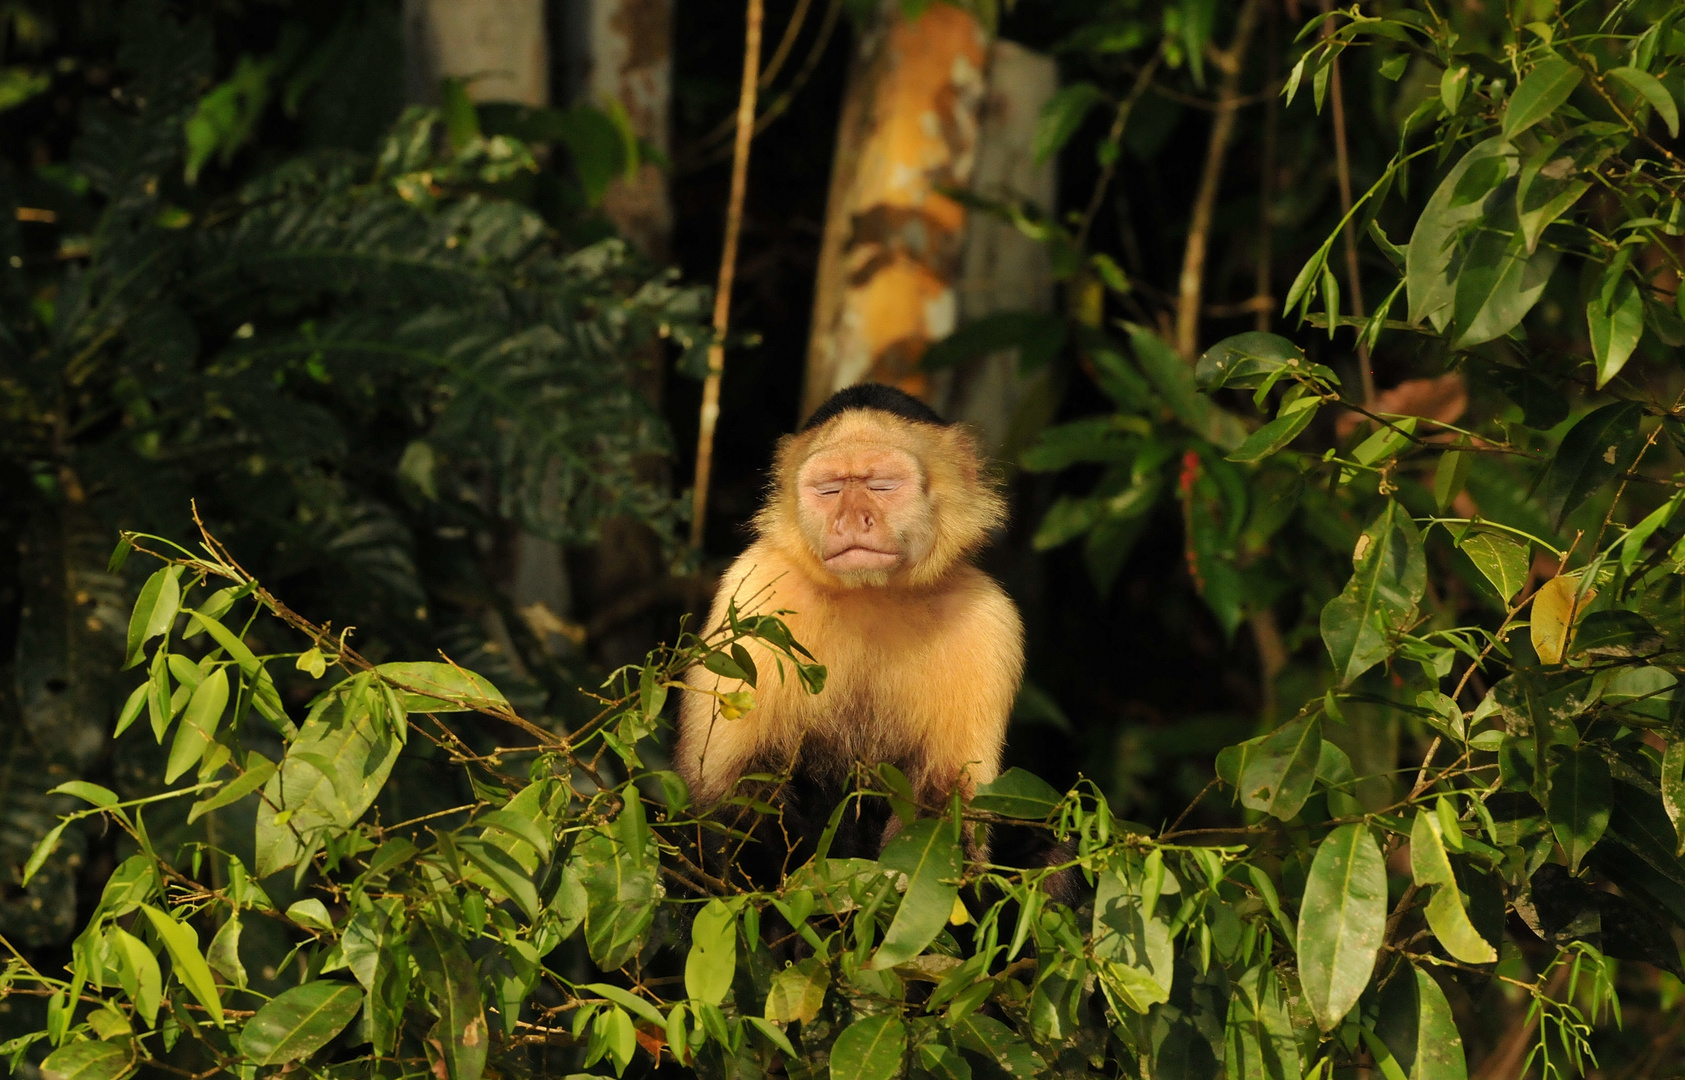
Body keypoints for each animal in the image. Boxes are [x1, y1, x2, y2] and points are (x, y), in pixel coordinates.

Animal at [674, 380, 1017, 882]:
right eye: (829, 489)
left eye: (881, 485)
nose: (852, 519)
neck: (870, 593)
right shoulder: (754, 584)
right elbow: (728, 794)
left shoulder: (990, 620)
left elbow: (946, 812)